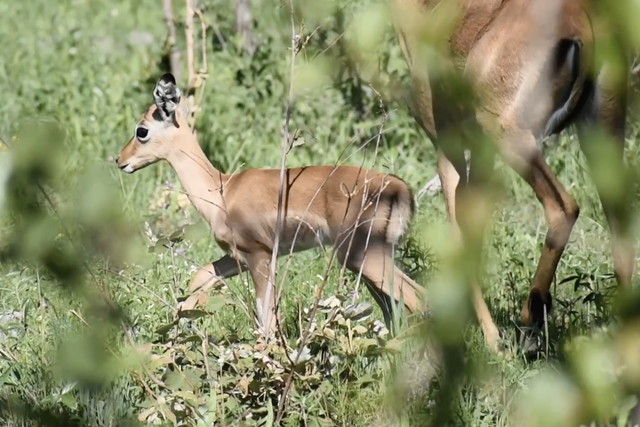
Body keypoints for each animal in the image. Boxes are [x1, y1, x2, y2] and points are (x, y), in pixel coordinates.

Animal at [115, 73, 425, 335]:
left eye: (141, 130)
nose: (120, 160)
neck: (222, 191)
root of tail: (400, 188)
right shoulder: (237, 257)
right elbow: (199, 279)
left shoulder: (259, 256)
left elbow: (267, 320)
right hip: (373, 259)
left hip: (361, 256)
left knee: (418, 299)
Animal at [388, 0, 636, 352]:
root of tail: (578, 22)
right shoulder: (480, 152)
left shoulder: (447, 143)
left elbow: (459, 227)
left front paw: (489, 337)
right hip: (602, 136)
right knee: (622, 239)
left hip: (512, 139)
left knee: (565, 207)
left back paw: (531, 314)